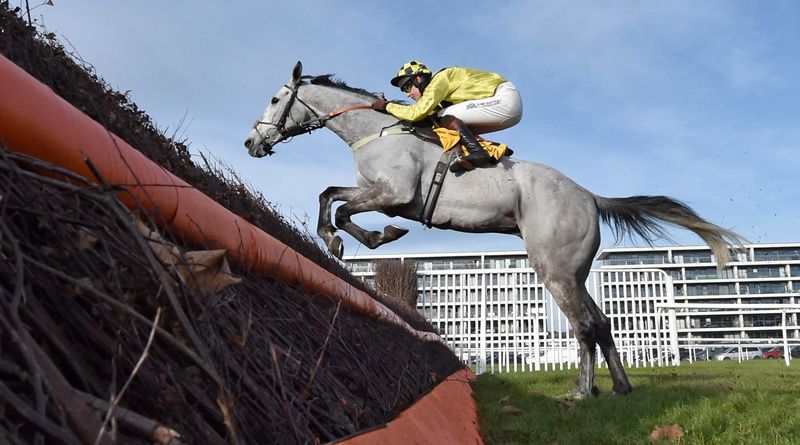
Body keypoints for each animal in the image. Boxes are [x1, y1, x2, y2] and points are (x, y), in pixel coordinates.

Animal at [242, 60, 744, 398]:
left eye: (274, 99)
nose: (251, 142)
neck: (377, 131)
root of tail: (589, 196)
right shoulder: (374, 191)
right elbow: (329, 195)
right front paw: (351, 239)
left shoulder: (394, 196)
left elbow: (342, 208)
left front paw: (361, 239)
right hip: (575, 272)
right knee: (601, 323)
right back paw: (620, 387)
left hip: (553, 270)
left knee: (583, 326)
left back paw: (584, 391)